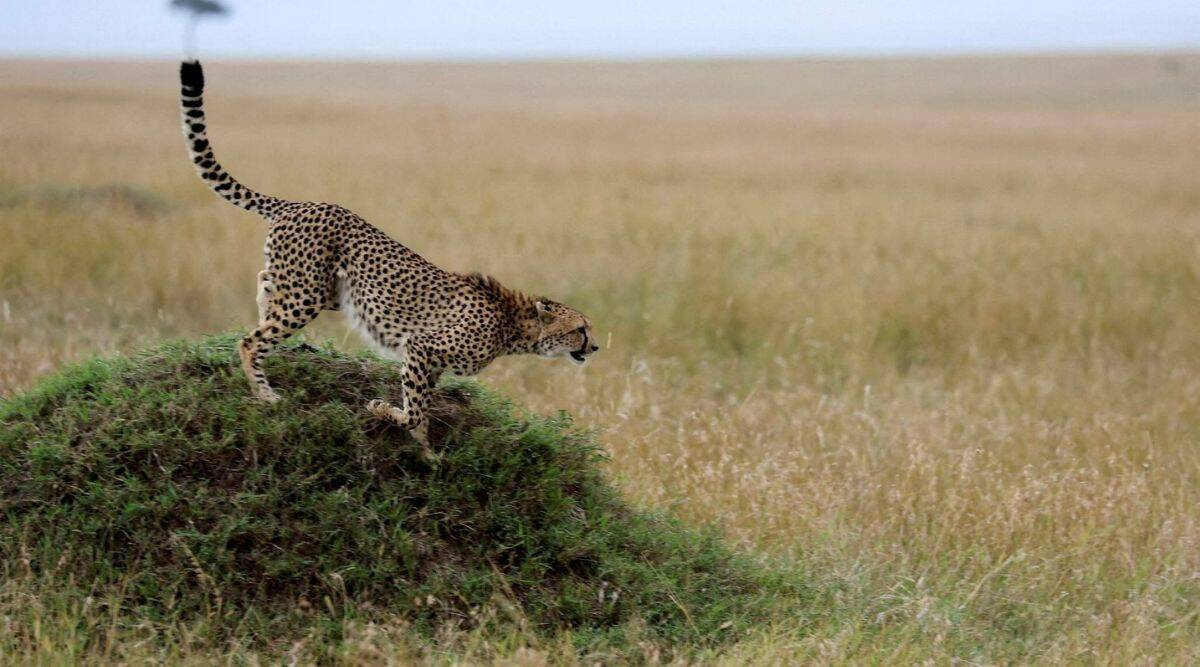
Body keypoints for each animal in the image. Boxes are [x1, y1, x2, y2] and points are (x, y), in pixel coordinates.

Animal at [178, 60, 598, 456]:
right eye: (580, 328)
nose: (594, 347)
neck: (513, 326)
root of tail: (301, 203)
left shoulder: (429, 362)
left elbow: (422, 407)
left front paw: (426, 450)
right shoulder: (421, 347)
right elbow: (413, 409)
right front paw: (387, 413)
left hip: (322, 290)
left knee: (264, 285)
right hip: (307, 295)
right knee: (251, 342)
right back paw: (264, 393)